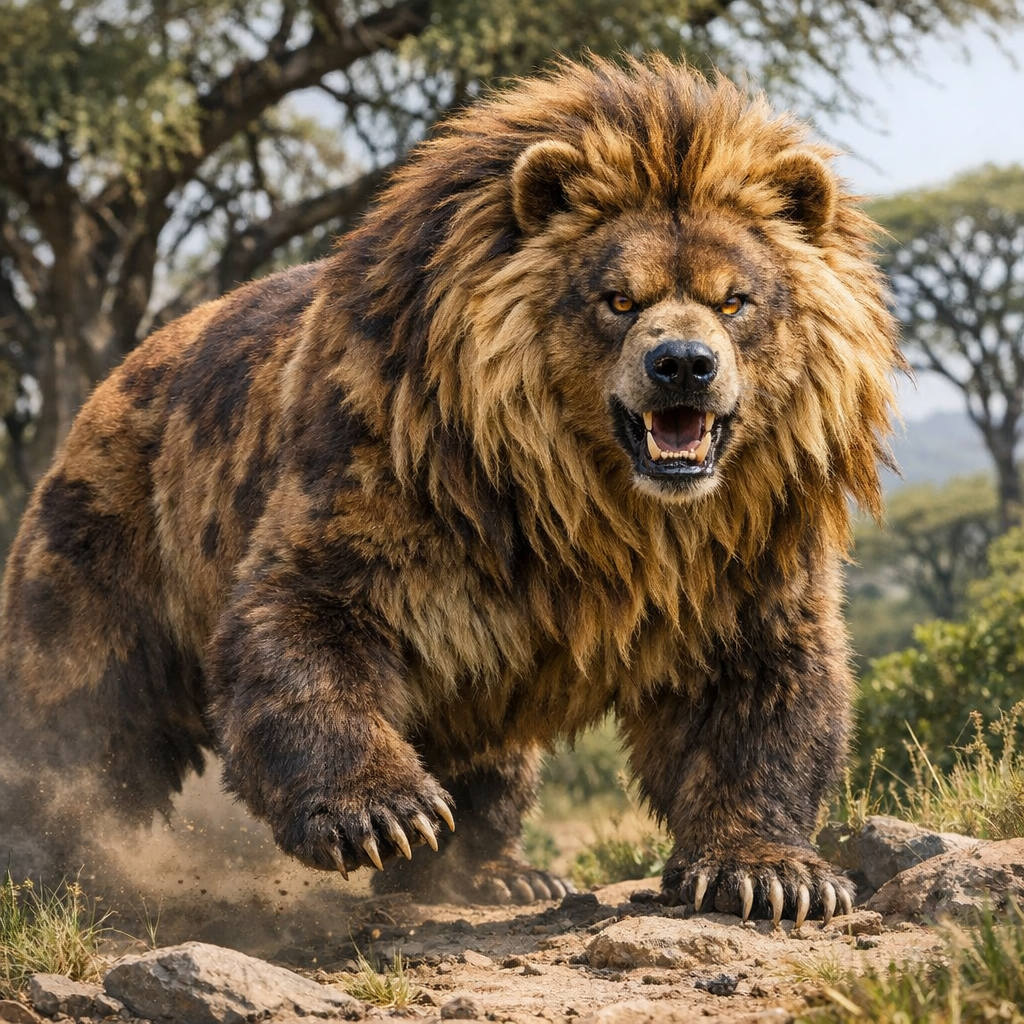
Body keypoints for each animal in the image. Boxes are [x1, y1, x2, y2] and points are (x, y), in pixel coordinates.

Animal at [0, 55, 902, 922]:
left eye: (735, 299)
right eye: (618, 298)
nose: (682, 362)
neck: (595, 507)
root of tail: (112, 379)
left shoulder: (738, 552)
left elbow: (761, 695)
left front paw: (772, 876)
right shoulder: (392, 477)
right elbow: (302, 624)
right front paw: (381, 814)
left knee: (495, 758)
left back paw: (501, 875)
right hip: (113, 543)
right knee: (74, 711)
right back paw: (43, 860)